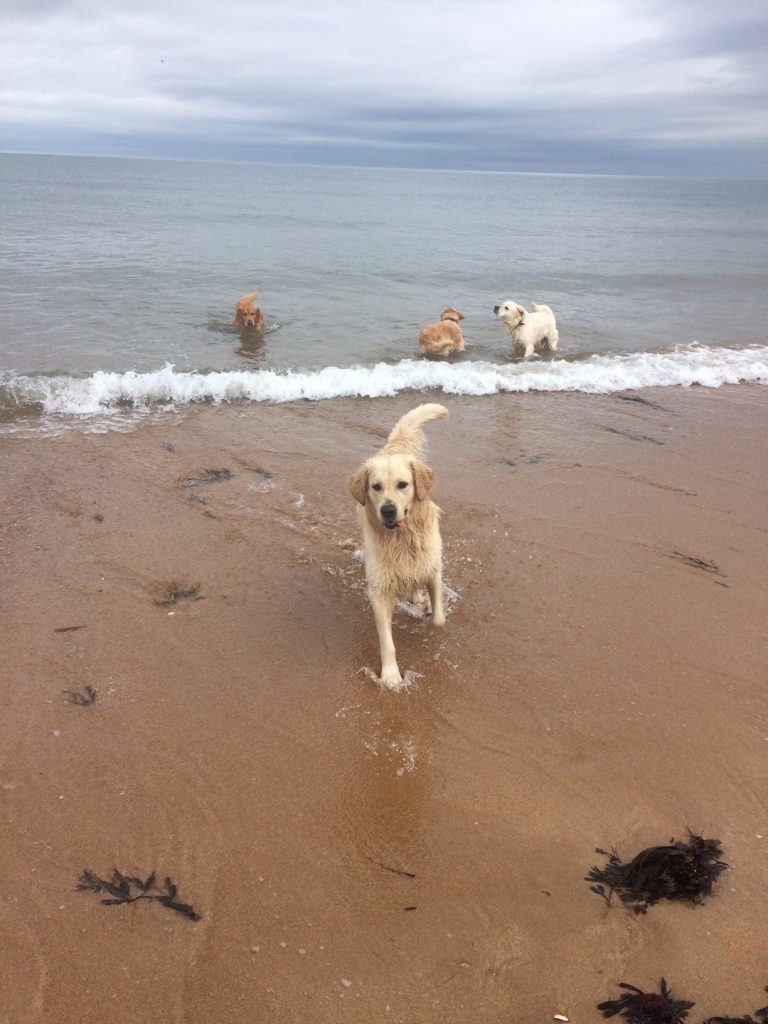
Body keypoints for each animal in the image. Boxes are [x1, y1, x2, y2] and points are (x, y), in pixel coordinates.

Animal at [350, 401, 450, 688]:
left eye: (402, 485)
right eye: (376, 487)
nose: (388, 510)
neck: (402, 539)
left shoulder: (432, 569)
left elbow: (439, 619)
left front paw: (430, 618)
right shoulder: (379, 589)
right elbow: (387, 641)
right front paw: (391, 675)